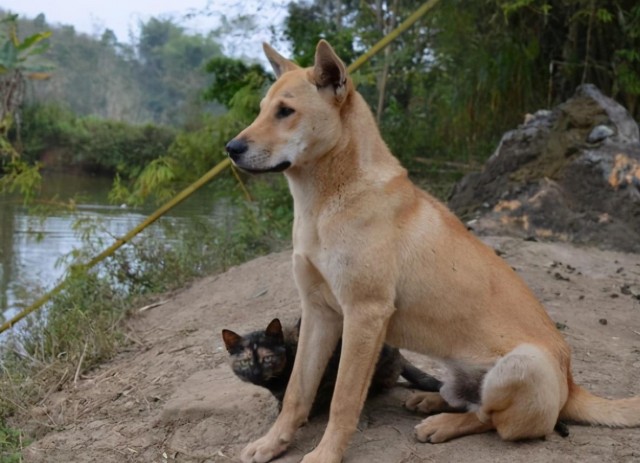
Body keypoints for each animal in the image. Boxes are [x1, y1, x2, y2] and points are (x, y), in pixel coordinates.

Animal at [226, 40, 640, 463]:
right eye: (262, 109)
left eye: (285, 111)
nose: (231, 149)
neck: (325, 202)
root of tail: (572, 386)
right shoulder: (319, 313)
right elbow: (298, 390)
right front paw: (273, 442)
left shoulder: (364, 314)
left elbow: (343, 399)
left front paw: (326, 453)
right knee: (463, 398)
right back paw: (429, 401)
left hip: (522, 365)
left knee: (489, 418)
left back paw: (441, 424)